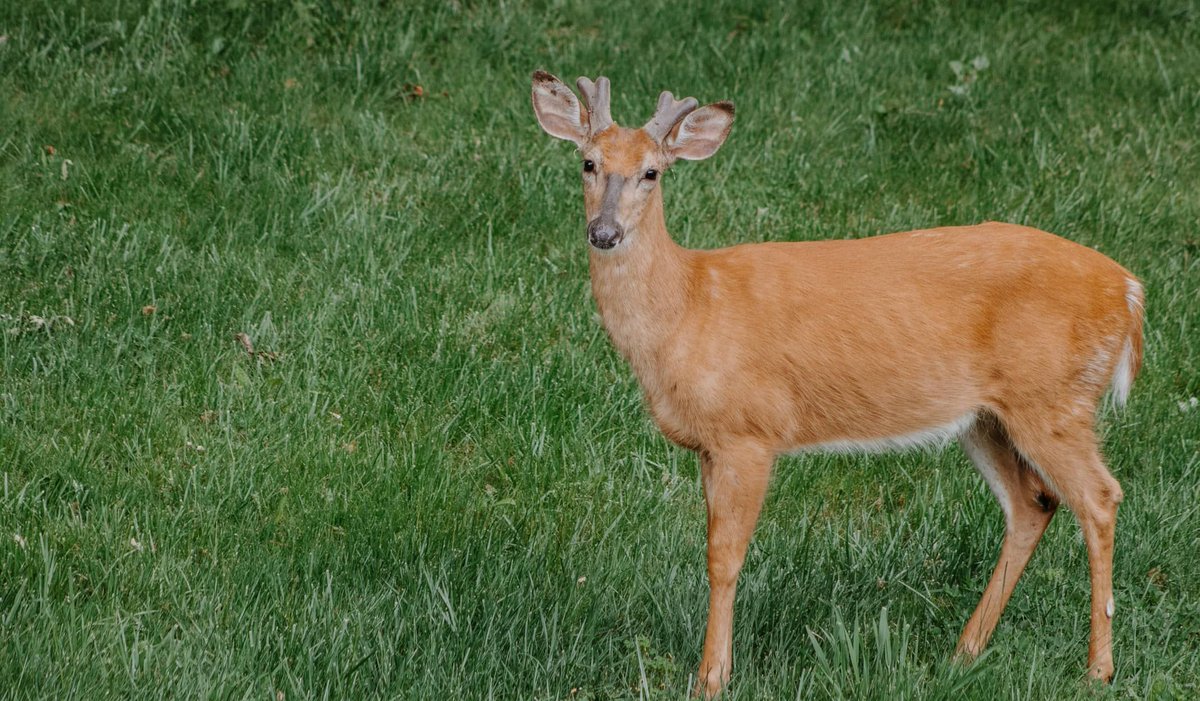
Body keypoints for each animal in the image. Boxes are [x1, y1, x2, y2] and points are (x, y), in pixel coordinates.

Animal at [530, 70, 1144, 697]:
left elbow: (724, 557)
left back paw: (1098, 667)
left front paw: (712, 677)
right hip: (988, 416)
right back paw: (964, 652)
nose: (604, 231)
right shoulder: (708, 445)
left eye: (652, 171)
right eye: (587, 162)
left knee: (1100, 497)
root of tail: (1128, 291)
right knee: (1033, 502)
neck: (689, 305)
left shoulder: (749, 431)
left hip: (1053, 397)